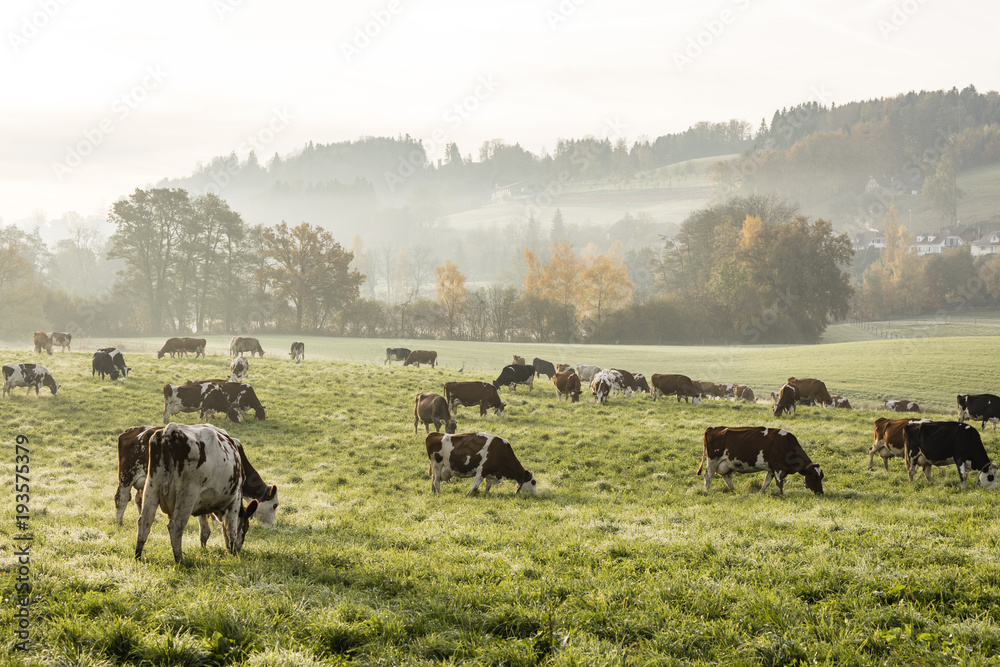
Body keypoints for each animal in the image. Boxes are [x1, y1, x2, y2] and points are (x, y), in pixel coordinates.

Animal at [135, 422, 264, 564]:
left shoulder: (203, 501)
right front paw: (233, 554)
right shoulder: (235, 499)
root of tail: (169, 430)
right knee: (176, 526)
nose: (240, 550)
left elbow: (205, 531)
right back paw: (180, 560)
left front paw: (204, 549)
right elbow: (231, 530)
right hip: (187, 494)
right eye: (246, 528)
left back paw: (138, 556)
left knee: (144, 521)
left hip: (151, 487)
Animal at [696, 428, 828, 496]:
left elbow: (766, 482)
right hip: (712, 460)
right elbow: (779, 484)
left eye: (821, 477)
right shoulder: (778, 468)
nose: (821, 493)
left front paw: (761, 492)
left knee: (727, 477)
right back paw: (706, 491)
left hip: (727, 464)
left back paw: (734, 491)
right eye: (815, 477)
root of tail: (713, 428)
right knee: (708, 476)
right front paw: (782, 495)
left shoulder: (772, 469)